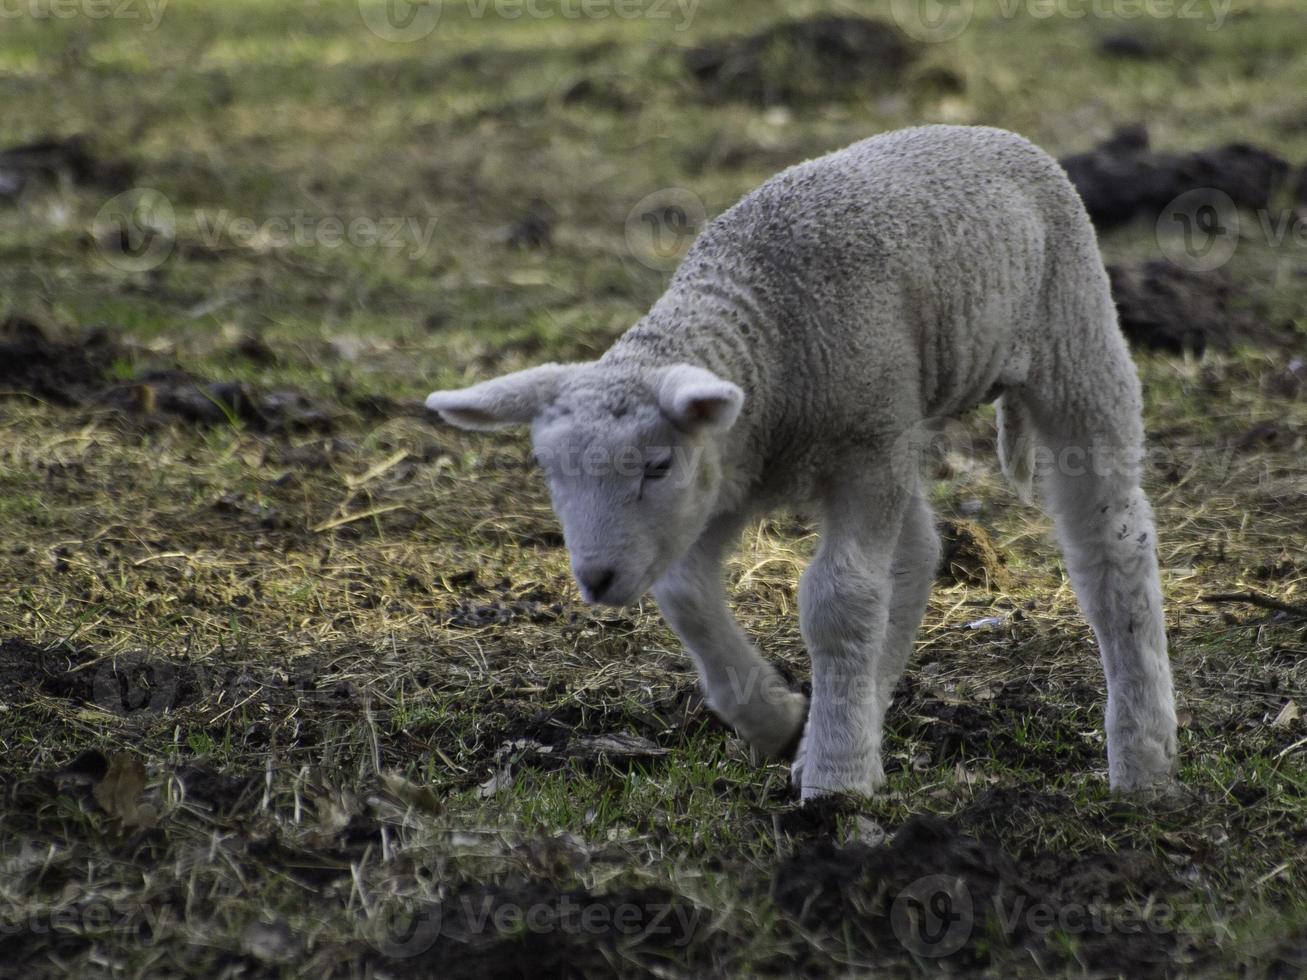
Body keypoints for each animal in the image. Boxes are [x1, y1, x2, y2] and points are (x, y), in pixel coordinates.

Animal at [428, 124, 1186, 799]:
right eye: (550, 472)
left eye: (655, 467)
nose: (597, 579)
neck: (765, 340)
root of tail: (986, 133)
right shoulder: (729, 474)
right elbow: (686, 592)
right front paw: (778, 722)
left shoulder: (856, 453)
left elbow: (839, 600)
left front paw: (834, 781)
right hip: (899, 418)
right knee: (917, 554)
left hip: (1070, 345)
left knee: (1110, 540)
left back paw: (1144, 763)